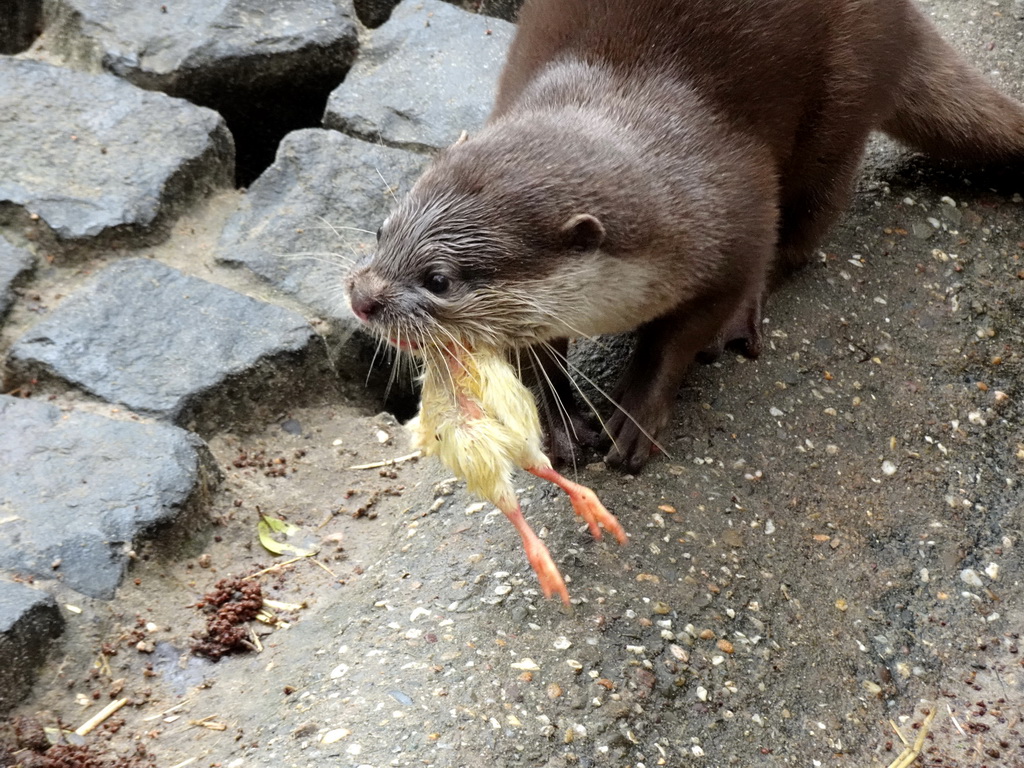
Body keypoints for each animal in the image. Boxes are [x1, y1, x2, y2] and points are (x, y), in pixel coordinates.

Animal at [348, 0, 1024, 473]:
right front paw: (562, 422)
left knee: (808, 221)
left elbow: (685, 331)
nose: (362, 296)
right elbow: (534, 357)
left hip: (846, 92)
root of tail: (906, 18)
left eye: (438, 279)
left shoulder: (733, 225)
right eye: (380, 230)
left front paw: (635, 413)